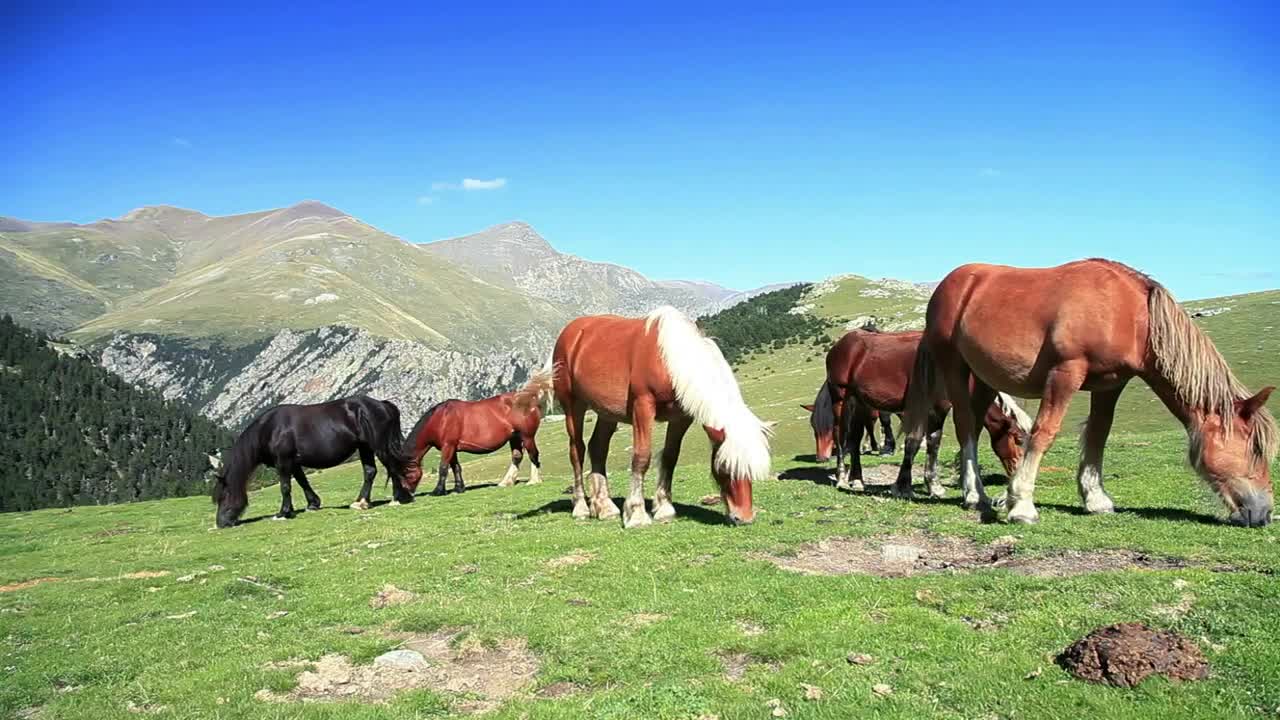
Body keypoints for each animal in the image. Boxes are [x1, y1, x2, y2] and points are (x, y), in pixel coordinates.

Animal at [213, 395, 410, 528]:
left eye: (224, 496)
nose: (221, 523)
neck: (270, 429)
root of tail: (382, 405)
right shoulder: (294, 463)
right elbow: (302, 482)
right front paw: (312, 504)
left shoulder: (283, 461)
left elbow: (285, 486)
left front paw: (283, 512)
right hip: (365, 447)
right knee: (370, 471)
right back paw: (361, 502)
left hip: (379, 446)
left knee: (392, 467)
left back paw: (397, 498)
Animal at [401, 369, 554, 496]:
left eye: (403, 473)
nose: (404, 496)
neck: (441, 418)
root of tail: (530, 400)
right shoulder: (452, 448)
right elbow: (456, 467)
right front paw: (459, 488)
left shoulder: (448, 446)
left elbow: (443, 467)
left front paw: (438, 491)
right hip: (515, 438)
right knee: (517, 457)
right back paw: (506, 482)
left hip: (527, 437)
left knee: (533, 455)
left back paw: (534, 480)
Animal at [552, 306, 773, 527]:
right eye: (726, 467)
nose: (744, 518)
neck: (669, 359)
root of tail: (571, 331)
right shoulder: (642, 406)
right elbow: (641, 457)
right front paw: (637, 513)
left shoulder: (681, 418)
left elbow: (670, 457)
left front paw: (664, 508)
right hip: (573, 405)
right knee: (577, 451)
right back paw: (581, 507)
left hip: (607, 413)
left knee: (598, 447)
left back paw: (605, 507)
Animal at [822, 329, 1032, 499]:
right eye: (1018, 438)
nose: (1017, 473)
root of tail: (840, 345)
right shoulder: (924, 408)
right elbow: (913, 442)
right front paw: (903, 486)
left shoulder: (939, 409)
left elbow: (934, 442)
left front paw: (934, 486)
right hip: (841, 399)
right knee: (839, 435)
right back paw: (841, 477)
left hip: (861, 402)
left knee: (855, 439)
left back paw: (857, 479)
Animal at [905, 259, 1276, 526]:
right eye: (1255, 450)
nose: (1264, 513)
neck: (1128, 313)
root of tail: (951, 284)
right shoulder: (1066, 373)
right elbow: (1044, 433)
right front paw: (1021, 504)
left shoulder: (1111, 384)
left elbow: (1099, 435)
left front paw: (1096, 499)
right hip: (954, 366)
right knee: (965, 425)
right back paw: (976, 495)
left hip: (982, 377)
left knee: (975, 425)